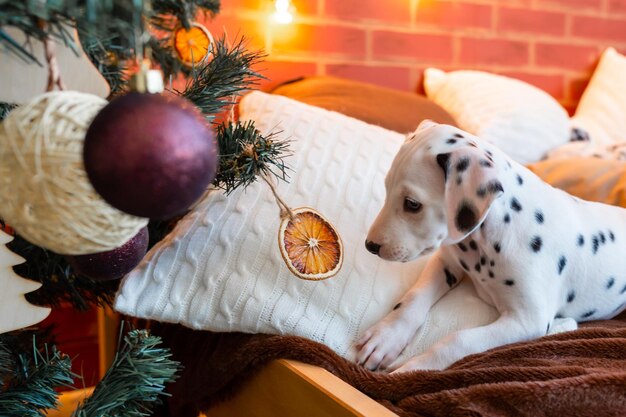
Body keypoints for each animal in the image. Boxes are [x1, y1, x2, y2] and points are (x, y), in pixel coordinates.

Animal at [356, 119, 624, 370]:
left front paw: (416, 369)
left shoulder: (527, 320)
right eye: (386, 188)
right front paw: (386, 336)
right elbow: (413, 298)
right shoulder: (446, 263)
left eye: (412, 204)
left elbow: (459, 340)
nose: (370, 245)